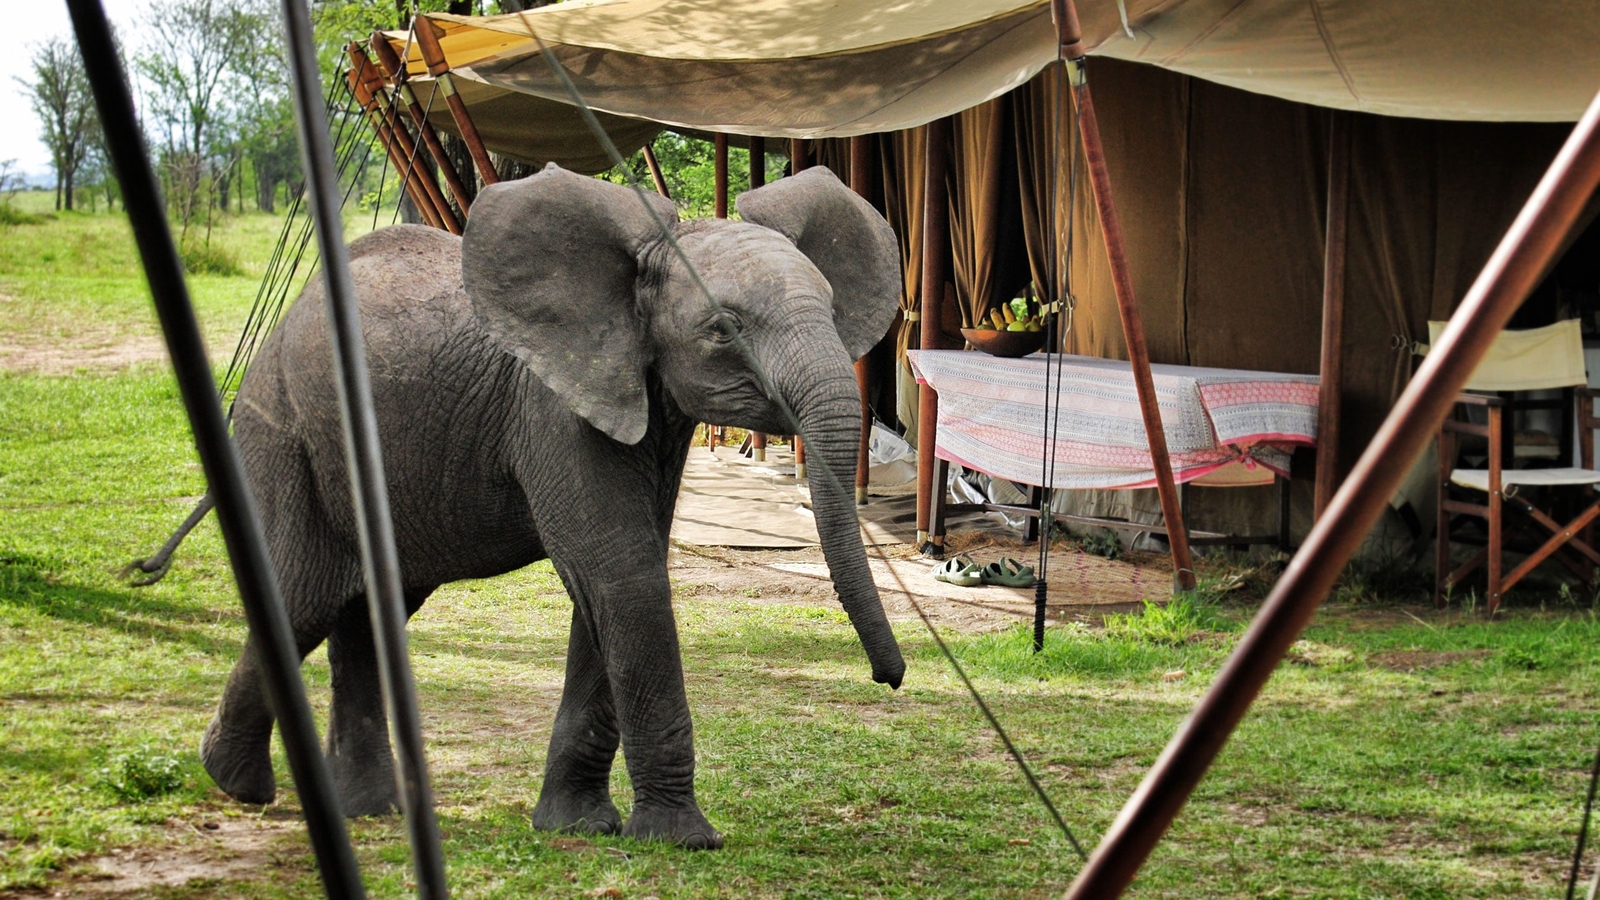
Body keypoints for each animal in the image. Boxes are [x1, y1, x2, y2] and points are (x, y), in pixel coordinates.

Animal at [199, 163, 906, 849]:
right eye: (724, 330)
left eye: (833, 308)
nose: (890, 678)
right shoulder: (551, 406)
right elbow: (621, 573)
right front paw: (684, 839)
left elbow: (613, 580)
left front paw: (577, 826)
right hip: (281, 426)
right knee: (304, 597)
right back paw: (237, 784)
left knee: (371, 609)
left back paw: (366, 809)